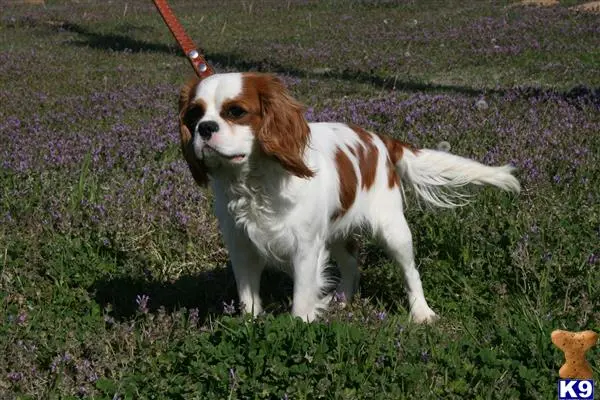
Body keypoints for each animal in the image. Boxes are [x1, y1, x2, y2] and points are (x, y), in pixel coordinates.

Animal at [178, 72, 520, 322]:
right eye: (194, 115)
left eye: (236, 111)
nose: (205, 128)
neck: (256, 180)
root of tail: (381, 139)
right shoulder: (242, 247)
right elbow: (248, 299)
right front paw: (250, 327)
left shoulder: (305, 248)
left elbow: (301, 302)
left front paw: (298, 327)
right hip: (338, 233)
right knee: (352, 265)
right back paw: (342, 299)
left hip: (393, 231)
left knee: (411, 272)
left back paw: (422, 313)